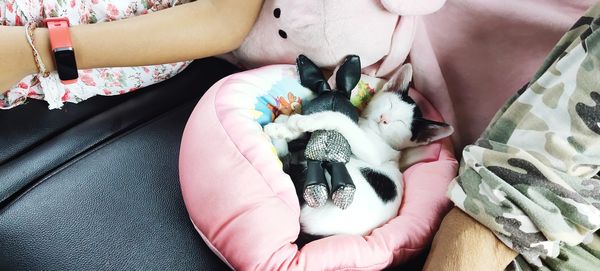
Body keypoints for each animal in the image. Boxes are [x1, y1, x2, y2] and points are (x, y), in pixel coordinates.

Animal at [264, 64, 452, 238]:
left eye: (401, 123)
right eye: (390, 104)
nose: (384, 119)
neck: (368, 128)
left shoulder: (373, 151)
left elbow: (342, 120)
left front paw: (300, 121)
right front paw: (287, 127)